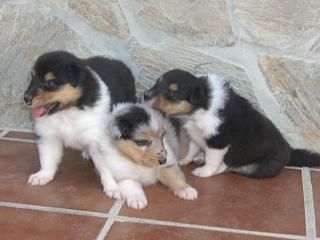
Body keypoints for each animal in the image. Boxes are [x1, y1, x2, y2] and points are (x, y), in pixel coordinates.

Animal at [23, 50, 135, 199]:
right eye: (32, 78)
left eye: (50, 82)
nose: (26, 99)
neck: (67, 111)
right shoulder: (49, 136)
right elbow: (47, 158)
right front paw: (42, 176)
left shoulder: (98, 140)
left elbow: (105, 167)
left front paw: (112, 188)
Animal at [144, 69, 320, 178]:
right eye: (157, 82)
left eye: (172, 94)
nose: (145, 95)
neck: (200, 108)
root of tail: (290, 151)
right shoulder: (195, 134)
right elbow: (192, 150)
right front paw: (185, 160)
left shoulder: (218, 142)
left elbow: (213, 160)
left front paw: (204, 172)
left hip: (255, 166)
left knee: (230, 167)